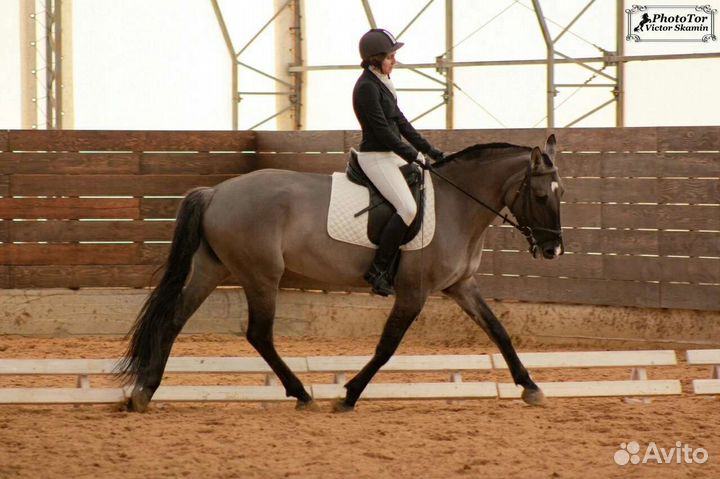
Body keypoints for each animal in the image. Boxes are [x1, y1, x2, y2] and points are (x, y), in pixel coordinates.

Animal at [117, 134, 564, 413]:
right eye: (542, 195)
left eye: (561, 193)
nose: (553, 250)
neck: (458, 205)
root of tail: (216, 192)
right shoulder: (413, 293)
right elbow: (386, 347)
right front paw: (348, 395)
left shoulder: (460, 286)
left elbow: (498, 330)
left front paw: (531, 387)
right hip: (261, 276)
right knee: (259, 334)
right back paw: (301, 394)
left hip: (214, 268)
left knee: (174, 319)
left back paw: (144, 392)